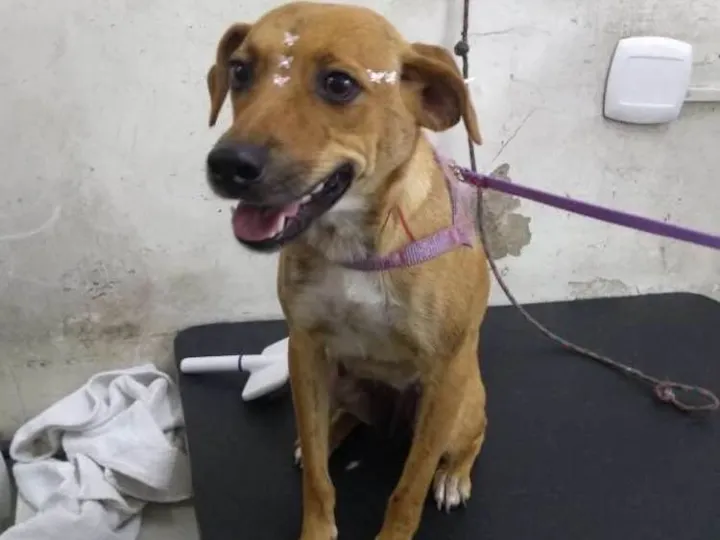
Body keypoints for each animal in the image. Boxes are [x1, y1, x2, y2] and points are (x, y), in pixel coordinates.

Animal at [204, 2, 489, 538]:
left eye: (339, 84)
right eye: (240, 71)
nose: (227, 165)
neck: (357, 245)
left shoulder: (446, 373)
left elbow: (408, 489)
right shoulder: (306, 350)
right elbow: (318, 479)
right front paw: (317, 528)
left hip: (462, 403)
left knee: (469, 440)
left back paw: (455, 475)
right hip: (336, 379)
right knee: (331, 427)